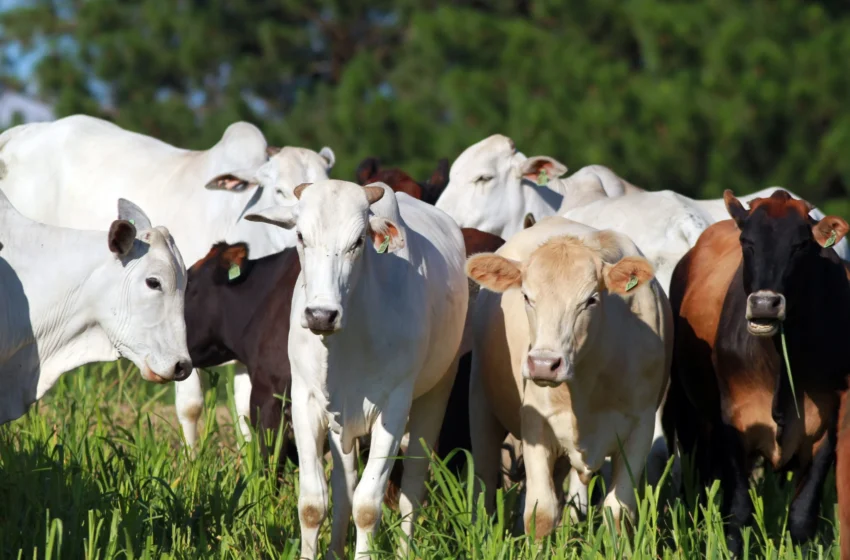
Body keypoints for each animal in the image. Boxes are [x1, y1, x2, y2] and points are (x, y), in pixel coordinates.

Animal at [245, 179, 468, 560]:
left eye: (358, 241)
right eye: (301, 236)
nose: (321, 314)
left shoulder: (393, 408)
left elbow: (368, 506)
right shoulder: (306, 402)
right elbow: (313, 503)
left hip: (436, 392)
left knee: (411, 489)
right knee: (344, 484)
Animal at [464, 217, 668, 536]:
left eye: (590, 300)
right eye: (526, 296)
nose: (544, 364)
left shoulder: (641, 427)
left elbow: (618, 513)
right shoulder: (535, 423)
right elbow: (540, 513)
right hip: (481, 404)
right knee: (483, 480)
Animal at [664, 189, 848, 556]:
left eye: (801, 245)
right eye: (747, 242)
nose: (765, 304)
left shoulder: (826, 428)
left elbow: (802, 516)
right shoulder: (735, 422)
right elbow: (737, 512)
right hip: (687, 414)